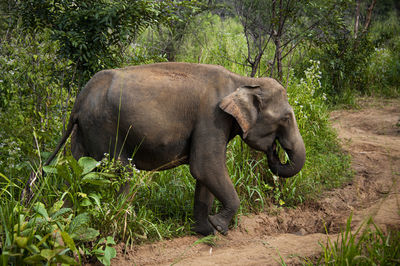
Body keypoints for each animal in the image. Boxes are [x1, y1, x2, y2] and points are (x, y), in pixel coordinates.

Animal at [44, 61, 306, 235]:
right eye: (285, 118)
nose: (274, 150)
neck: (243, 81)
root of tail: (79, 99)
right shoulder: (212, 117)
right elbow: (205, 166)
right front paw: (219, 227)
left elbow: (205, 174)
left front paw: (205, 232)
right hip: (104, 126)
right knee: (123, 173)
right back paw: (118, 226)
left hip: (84, 131)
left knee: (74, 174)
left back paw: (61, 226)